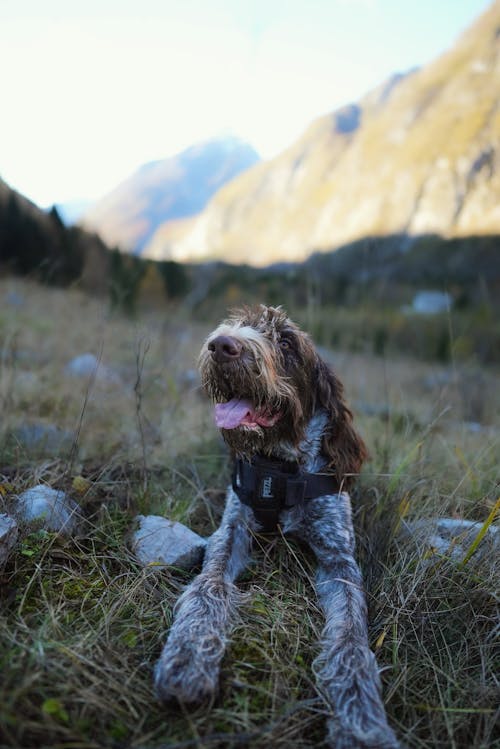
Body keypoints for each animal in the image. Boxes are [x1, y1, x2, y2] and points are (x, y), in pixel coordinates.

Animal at [154, 306, 400, 748]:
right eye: (238, 325)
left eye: (286, 342)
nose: (222, 345)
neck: (281, 469)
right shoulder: (232, 530)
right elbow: (209, 587)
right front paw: (187, 657)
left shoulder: (339, 560)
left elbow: (350, 635)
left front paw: (361, 721)